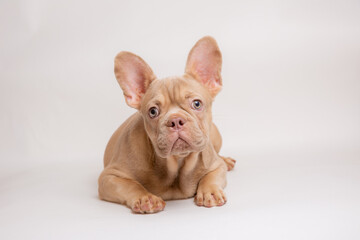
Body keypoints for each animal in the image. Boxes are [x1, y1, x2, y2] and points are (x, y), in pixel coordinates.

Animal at [98, 36, 235, 214]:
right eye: (153, 111)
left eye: (197, 104)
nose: (175, 120)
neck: (177, 163)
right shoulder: (109, 177)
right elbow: (131, 185)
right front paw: (145, 197)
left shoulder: (216, 166)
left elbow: (211, 176)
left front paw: (209, 191)